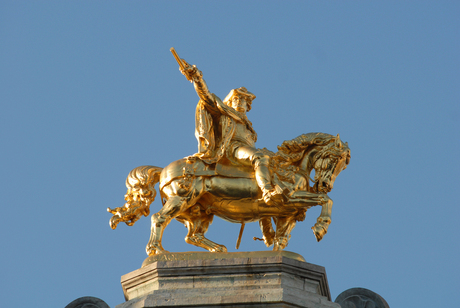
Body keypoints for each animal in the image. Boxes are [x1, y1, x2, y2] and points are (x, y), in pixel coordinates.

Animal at [108, 132, 352, 255]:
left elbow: (281, 241)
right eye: (333, 159)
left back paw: (217, 249)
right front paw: (321, 227)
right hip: (182, 199)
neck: (291, 168)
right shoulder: (288, 199)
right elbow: (326, 200)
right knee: (158, 218)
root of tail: (164, 170)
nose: (325, 184)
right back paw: (157, 251)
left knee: (192, 235)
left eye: (343, 166)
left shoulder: (288, 214)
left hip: (201, 211)